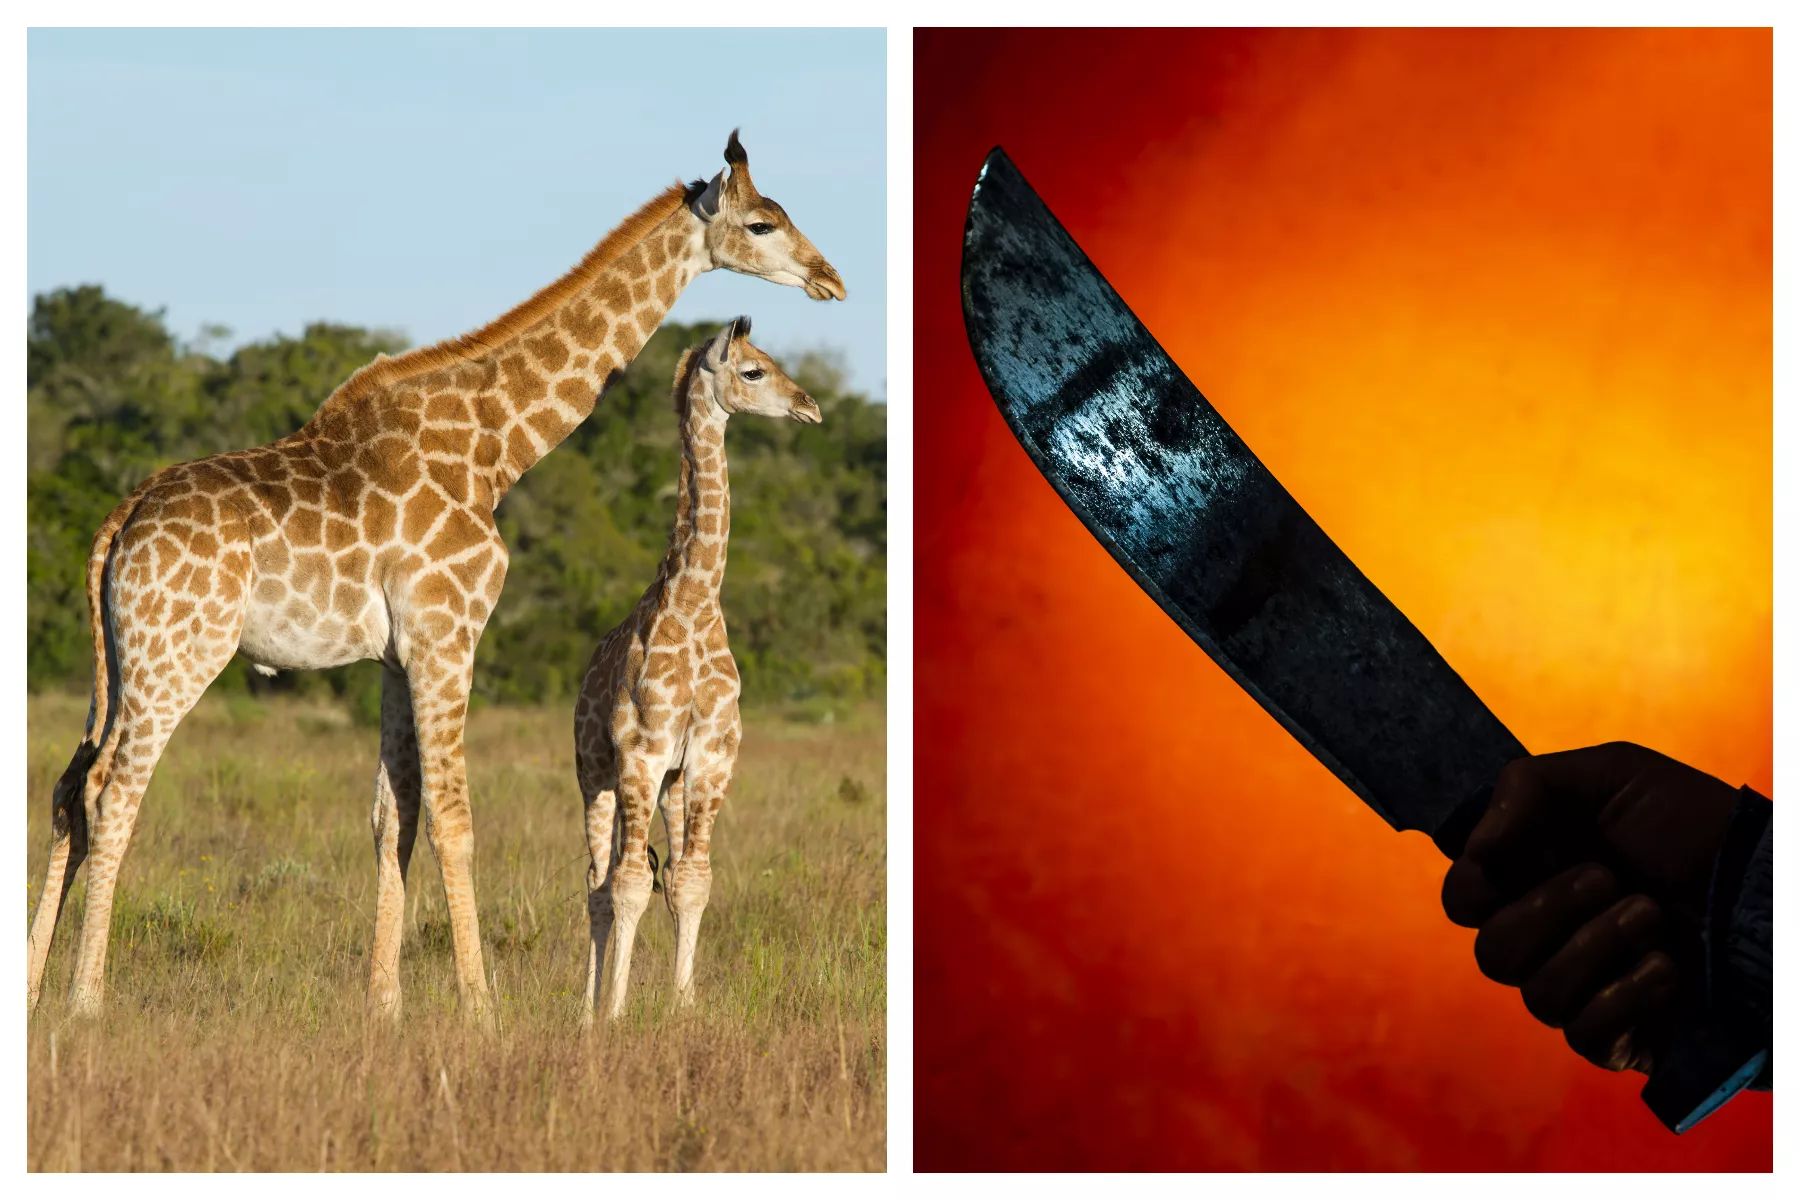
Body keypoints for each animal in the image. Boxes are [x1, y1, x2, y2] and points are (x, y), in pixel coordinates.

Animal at [573, 318, 818, 1023]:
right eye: (753, 370)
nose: (809, 407)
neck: (696, 601)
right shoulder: (641, 752)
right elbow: (629, 884)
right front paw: (615, 1012)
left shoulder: (709, 755)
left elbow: (692, 881)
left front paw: (682, 1008)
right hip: (595, 773)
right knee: (598, 882)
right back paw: (586, 1010)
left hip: (673, 784)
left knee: (655, 872)